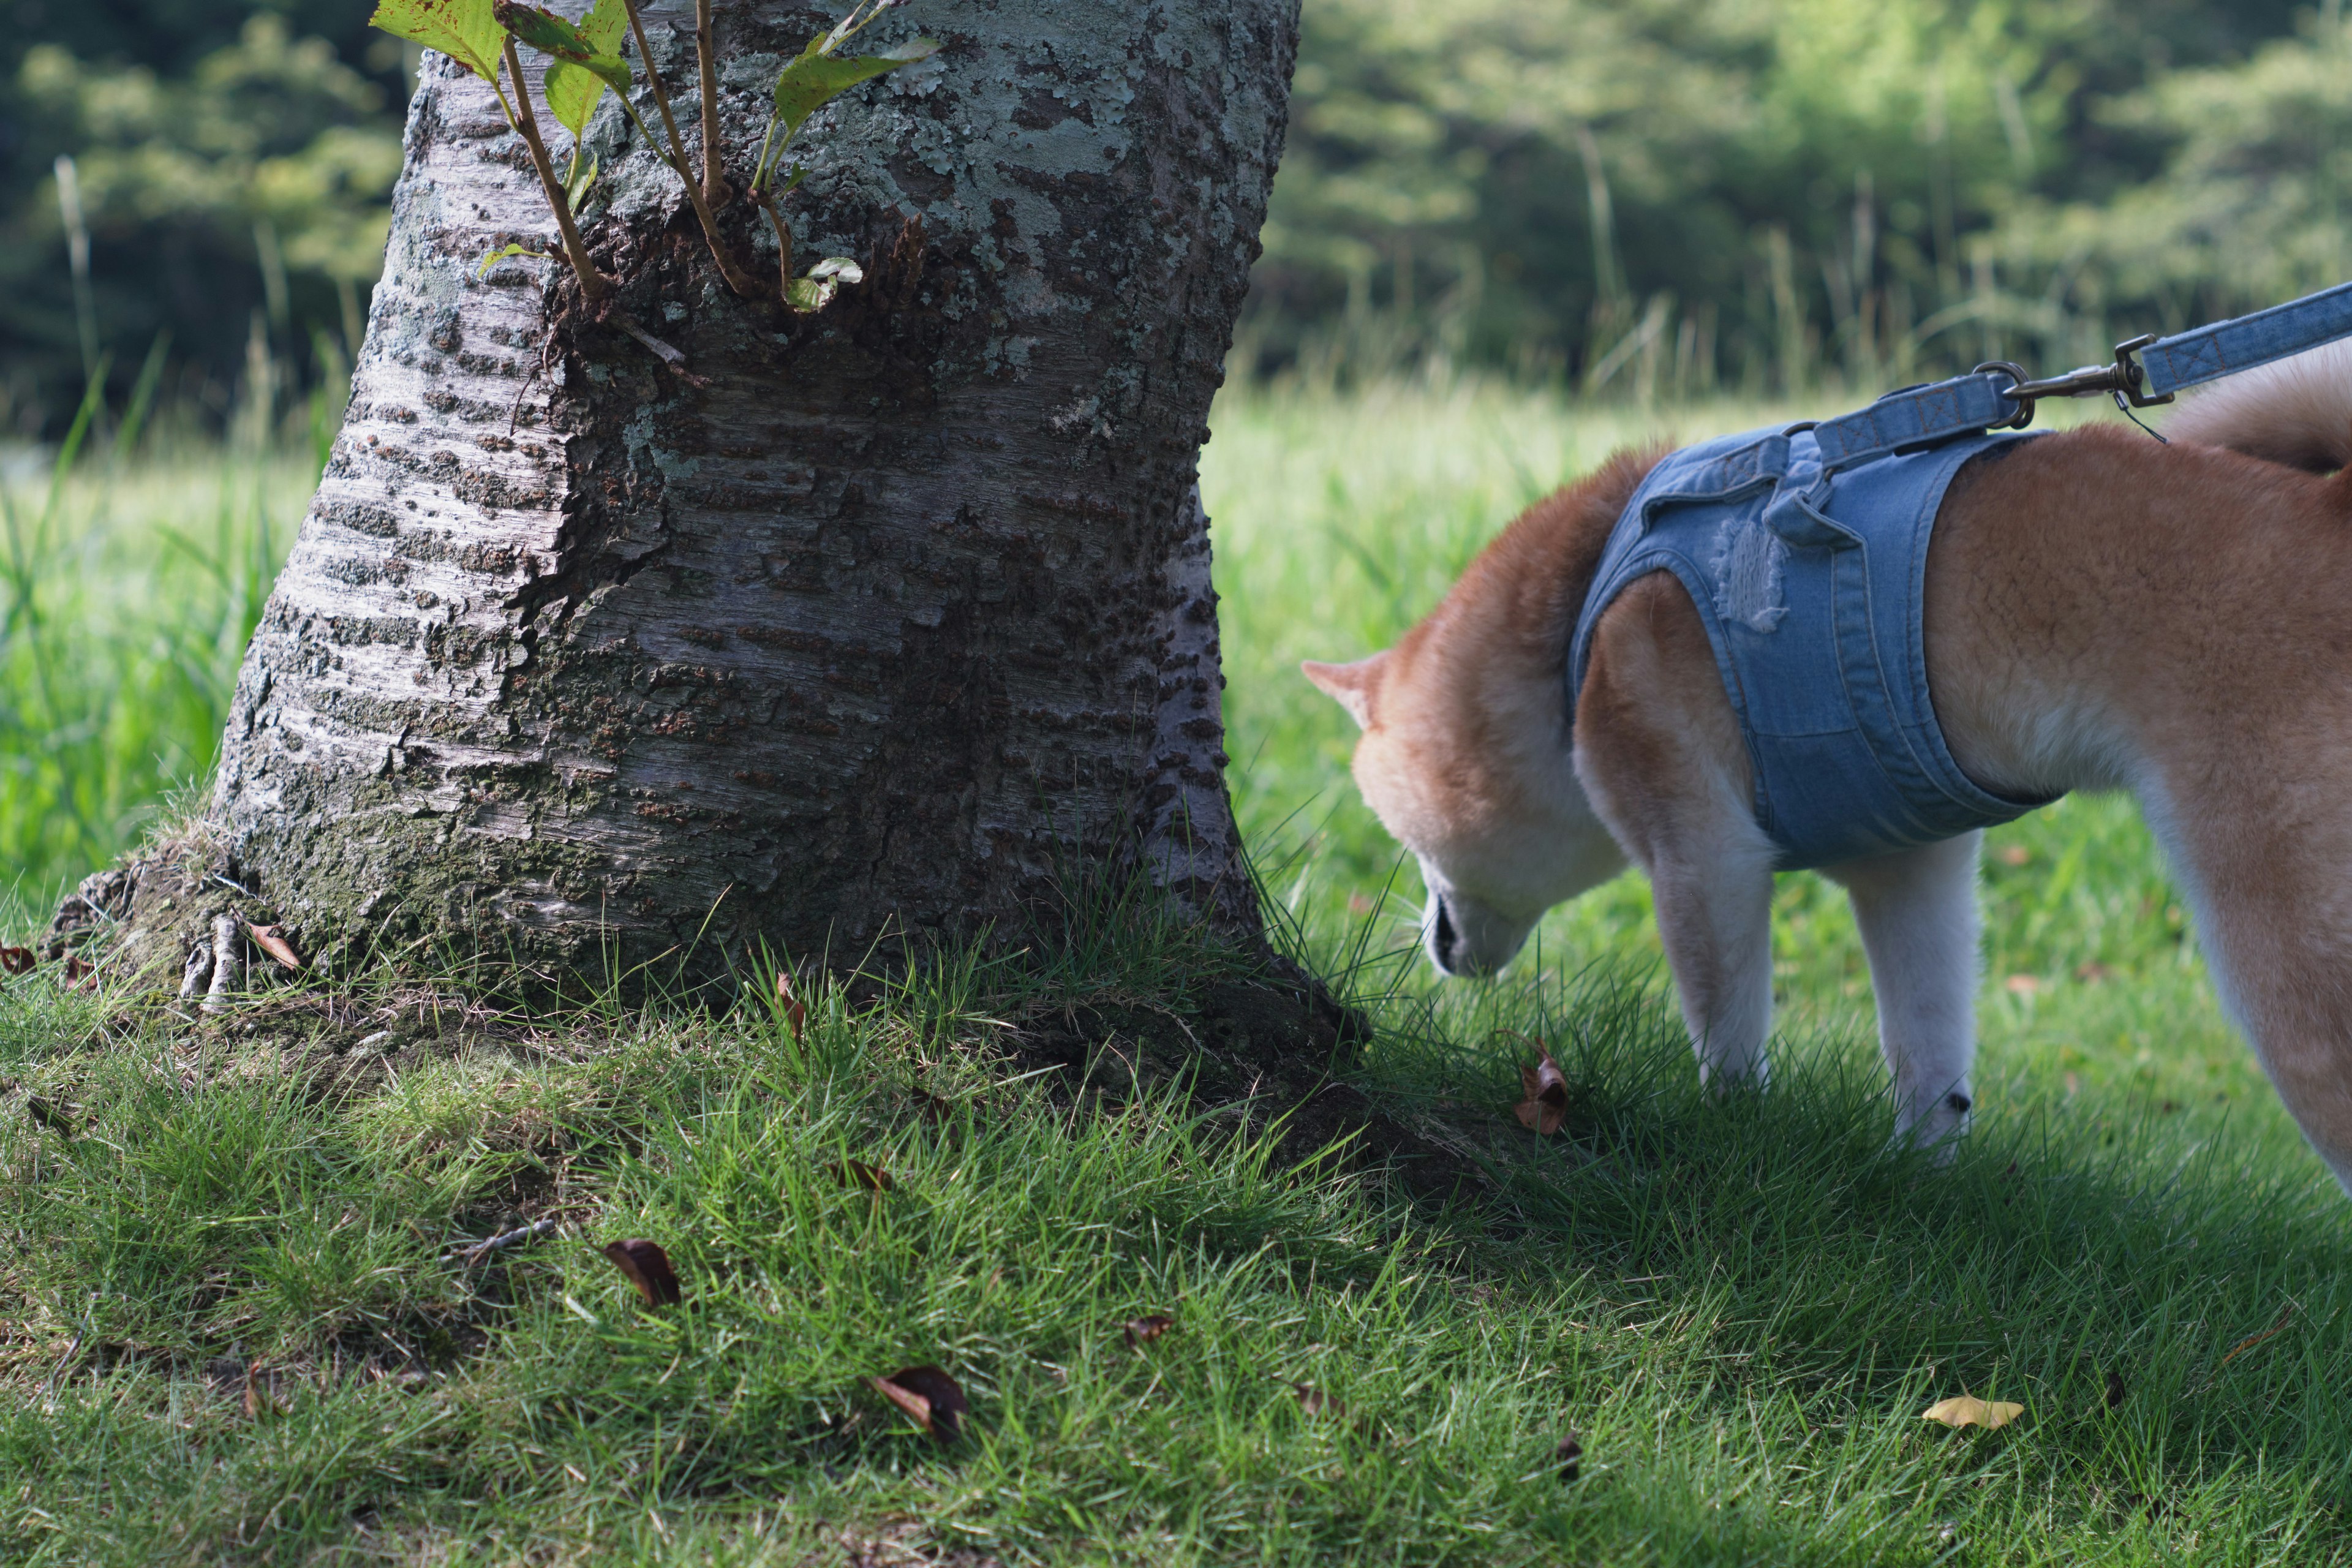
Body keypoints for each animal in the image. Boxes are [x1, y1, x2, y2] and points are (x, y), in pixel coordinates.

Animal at [1317, 341, 2352, 1175]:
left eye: (1400, 834)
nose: (1433, 944)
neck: (1579, 614)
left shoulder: (1701, 853)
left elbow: (1727, 1034)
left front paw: (1736, 1140)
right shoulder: (1913, 861)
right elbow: (1929, 1052)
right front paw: (1923, 1172)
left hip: (2287, 957)